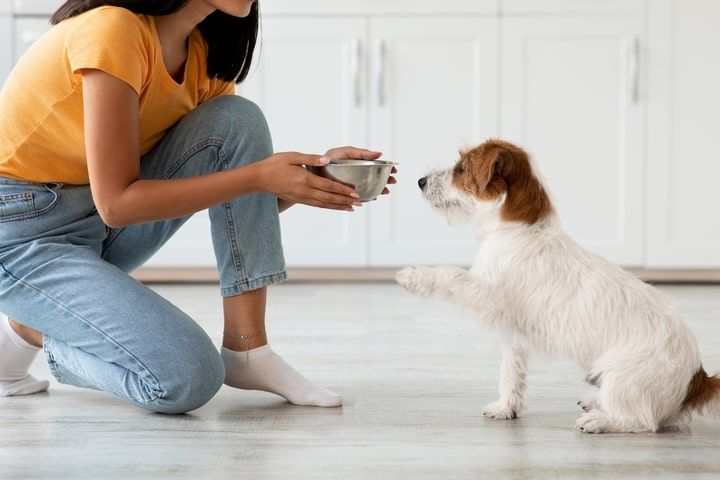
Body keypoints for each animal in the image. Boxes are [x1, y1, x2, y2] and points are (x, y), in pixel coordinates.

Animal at [396, 140, 720, 436]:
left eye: (461, 168)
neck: (517, 230)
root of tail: (697, 378)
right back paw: (595, 402)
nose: (420, 181)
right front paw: (507, 407)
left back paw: (599, 421)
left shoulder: (489, 297)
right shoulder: (514, 334)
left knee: (642, 421)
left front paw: (413, 277)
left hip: (621, 375)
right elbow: (511, 372)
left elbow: (452, 274)